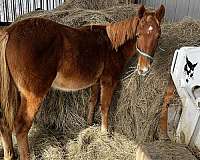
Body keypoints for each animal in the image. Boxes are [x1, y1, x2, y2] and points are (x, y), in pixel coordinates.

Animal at [0, 5, 164, 160]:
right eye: (138, 35)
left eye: (158, 36)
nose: (144, 69)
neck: (112, 45)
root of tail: (10, 31)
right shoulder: (108, 82)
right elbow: (105, 107)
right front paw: (105, 133)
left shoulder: (96, 82)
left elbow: (92, 101)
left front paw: (89, 124)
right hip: (33, 95)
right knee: (21, 127)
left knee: (4, 124)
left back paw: (9, 154)